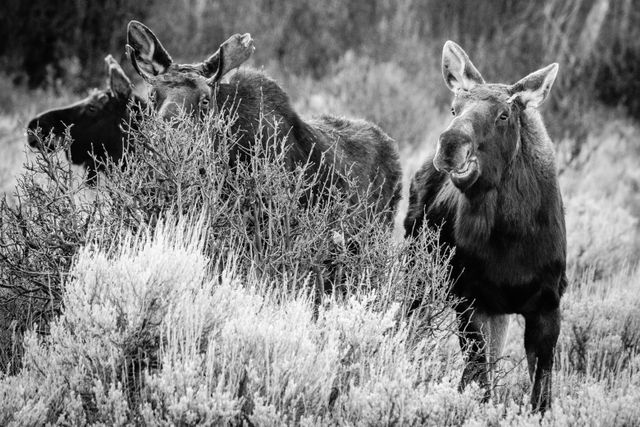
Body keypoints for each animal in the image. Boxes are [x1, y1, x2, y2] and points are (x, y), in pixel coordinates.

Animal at [408, 41, 568, 412]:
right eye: (454, 108)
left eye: (503, 116)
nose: (450, 144)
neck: (511, 239)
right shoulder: (472, 298)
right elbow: (478, 381)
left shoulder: (547, 302)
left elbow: (540, 393)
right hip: (418, 272)